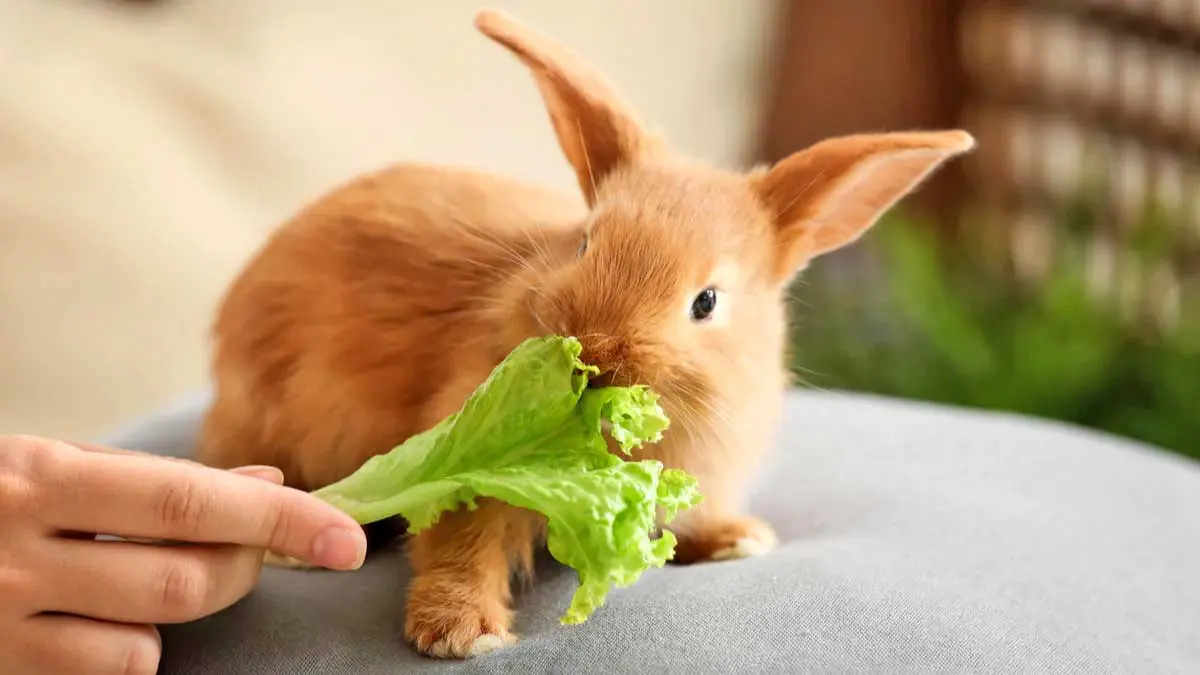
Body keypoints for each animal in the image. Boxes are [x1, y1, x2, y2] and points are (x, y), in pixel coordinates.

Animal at [196, 5, 974, 658]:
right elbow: (461, 541)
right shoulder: (464, 459)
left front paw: (737, 540)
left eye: (707, 301)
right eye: (584, 244)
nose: (595, 354)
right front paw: (462, 633)